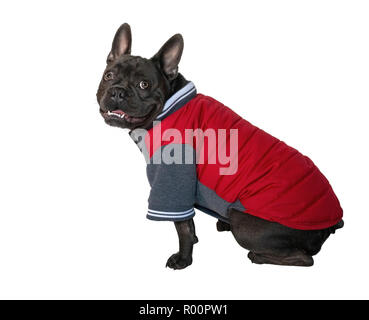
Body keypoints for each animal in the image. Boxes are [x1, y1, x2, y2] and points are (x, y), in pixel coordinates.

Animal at [95, 23, 342, 268]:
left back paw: (257, 255)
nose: (117, 91)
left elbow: (183, 229)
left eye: (144, 84)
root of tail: (332, 222)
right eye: (108, 75)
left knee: (305, 258)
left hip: (246, 224)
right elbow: (189, 225)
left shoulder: (173, 180)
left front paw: (183, 259)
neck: (166, 109)